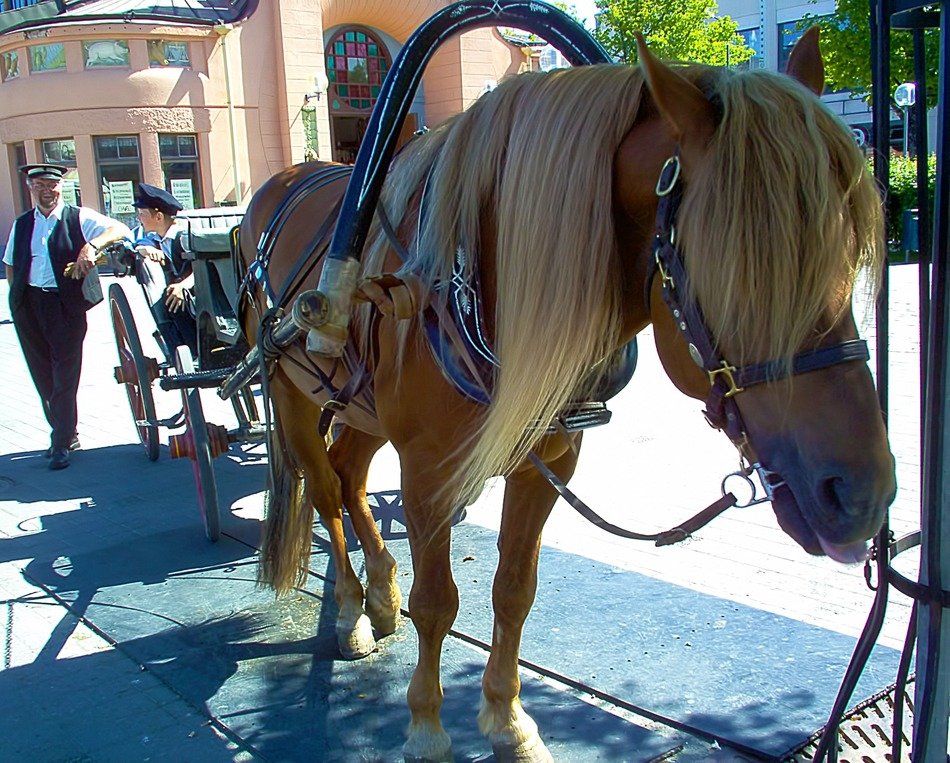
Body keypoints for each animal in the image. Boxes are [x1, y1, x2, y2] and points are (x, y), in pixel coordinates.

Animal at [235, 29, 895, 763]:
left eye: (850, 252)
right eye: (741, 266)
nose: (861, 495)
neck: (482, 277)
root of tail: (279, 187)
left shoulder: (547, 463)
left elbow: (514, 591)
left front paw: (508, 718)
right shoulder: (429, 472)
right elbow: (439, 602)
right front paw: (429, 726)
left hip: (363, 407)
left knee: (349, 474)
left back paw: (380, 591)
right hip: (291, 392)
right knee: (324, 490)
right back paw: (352, 608)